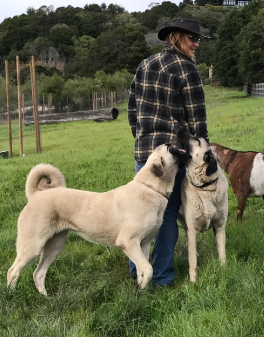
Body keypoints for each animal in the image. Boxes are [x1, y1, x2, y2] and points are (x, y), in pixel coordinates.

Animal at [177, 130, 229, 282]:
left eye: (196, 140)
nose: (180, 128)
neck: (206, 187)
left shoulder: (219, 227)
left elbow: (222, 253)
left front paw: (224, 270)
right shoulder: (193, 229)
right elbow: (193, 261)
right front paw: (193, 281)